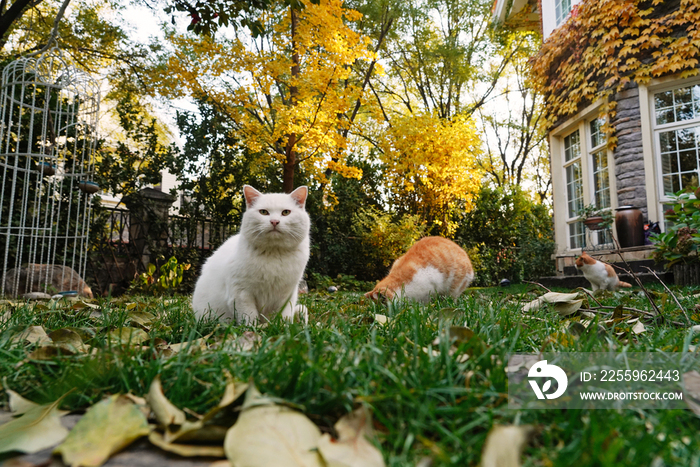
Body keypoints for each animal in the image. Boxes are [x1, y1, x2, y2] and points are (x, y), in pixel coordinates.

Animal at [193, 185, 310, 324]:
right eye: (263, 212)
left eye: (286, 212)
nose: (274, 221)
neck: (274, 253)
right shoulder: (241, 293)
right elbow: (249, 317)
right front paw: (254, 328)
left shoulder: (287, 295)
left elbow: (283, 316)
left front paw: (282, 327)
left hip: (302, 308)